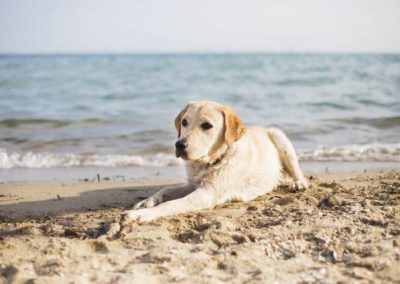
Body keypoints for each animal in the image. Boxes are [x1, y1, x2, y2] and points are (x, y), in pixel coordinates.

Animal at [126, 101, 308, 222]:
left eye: (207, 125)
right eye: (184, 122)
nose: (179, 145)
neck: (211, 162)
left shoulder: (208, 192)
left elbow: (170, 205)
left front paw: (142, 214)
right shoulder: (194, 184)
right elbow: (166, 189)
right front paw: (146, 202)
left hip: (279, 138)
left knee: (299, 172)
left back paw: (299, 183)